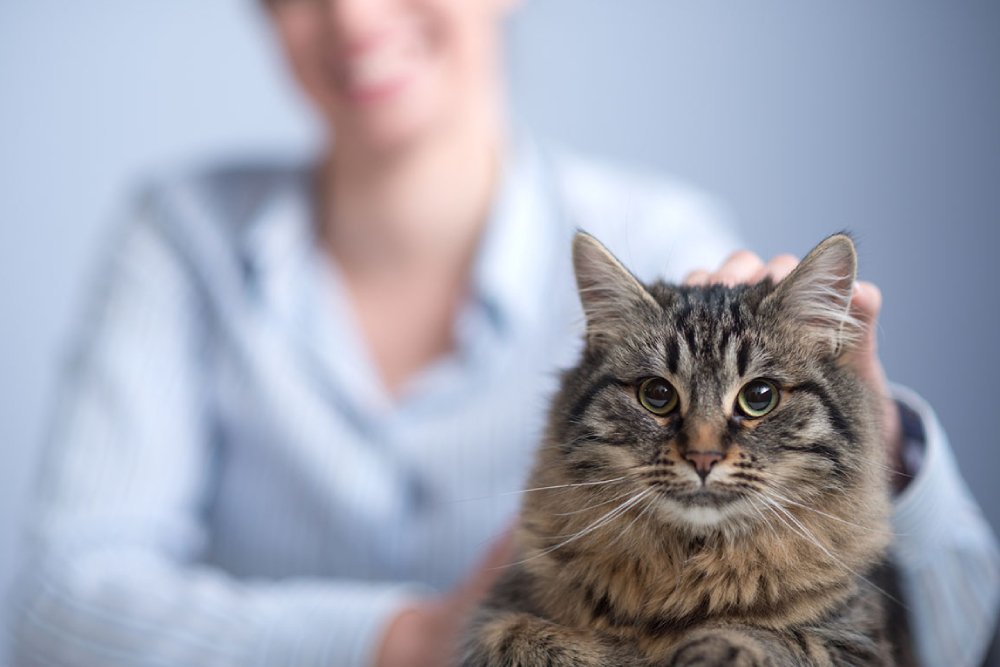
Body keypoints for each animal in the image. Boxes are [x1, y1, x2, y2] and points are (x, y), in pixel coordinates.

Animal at [460, 234, 916, 667]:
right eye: (657, 395)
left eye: (759, 396)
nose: (703, 458)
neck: (690, 568)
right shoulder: (495, 612)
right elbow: (518, 637)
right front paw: (627, 652)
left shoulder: (857, 639)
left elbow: (760, 636)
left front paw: (699, 646)